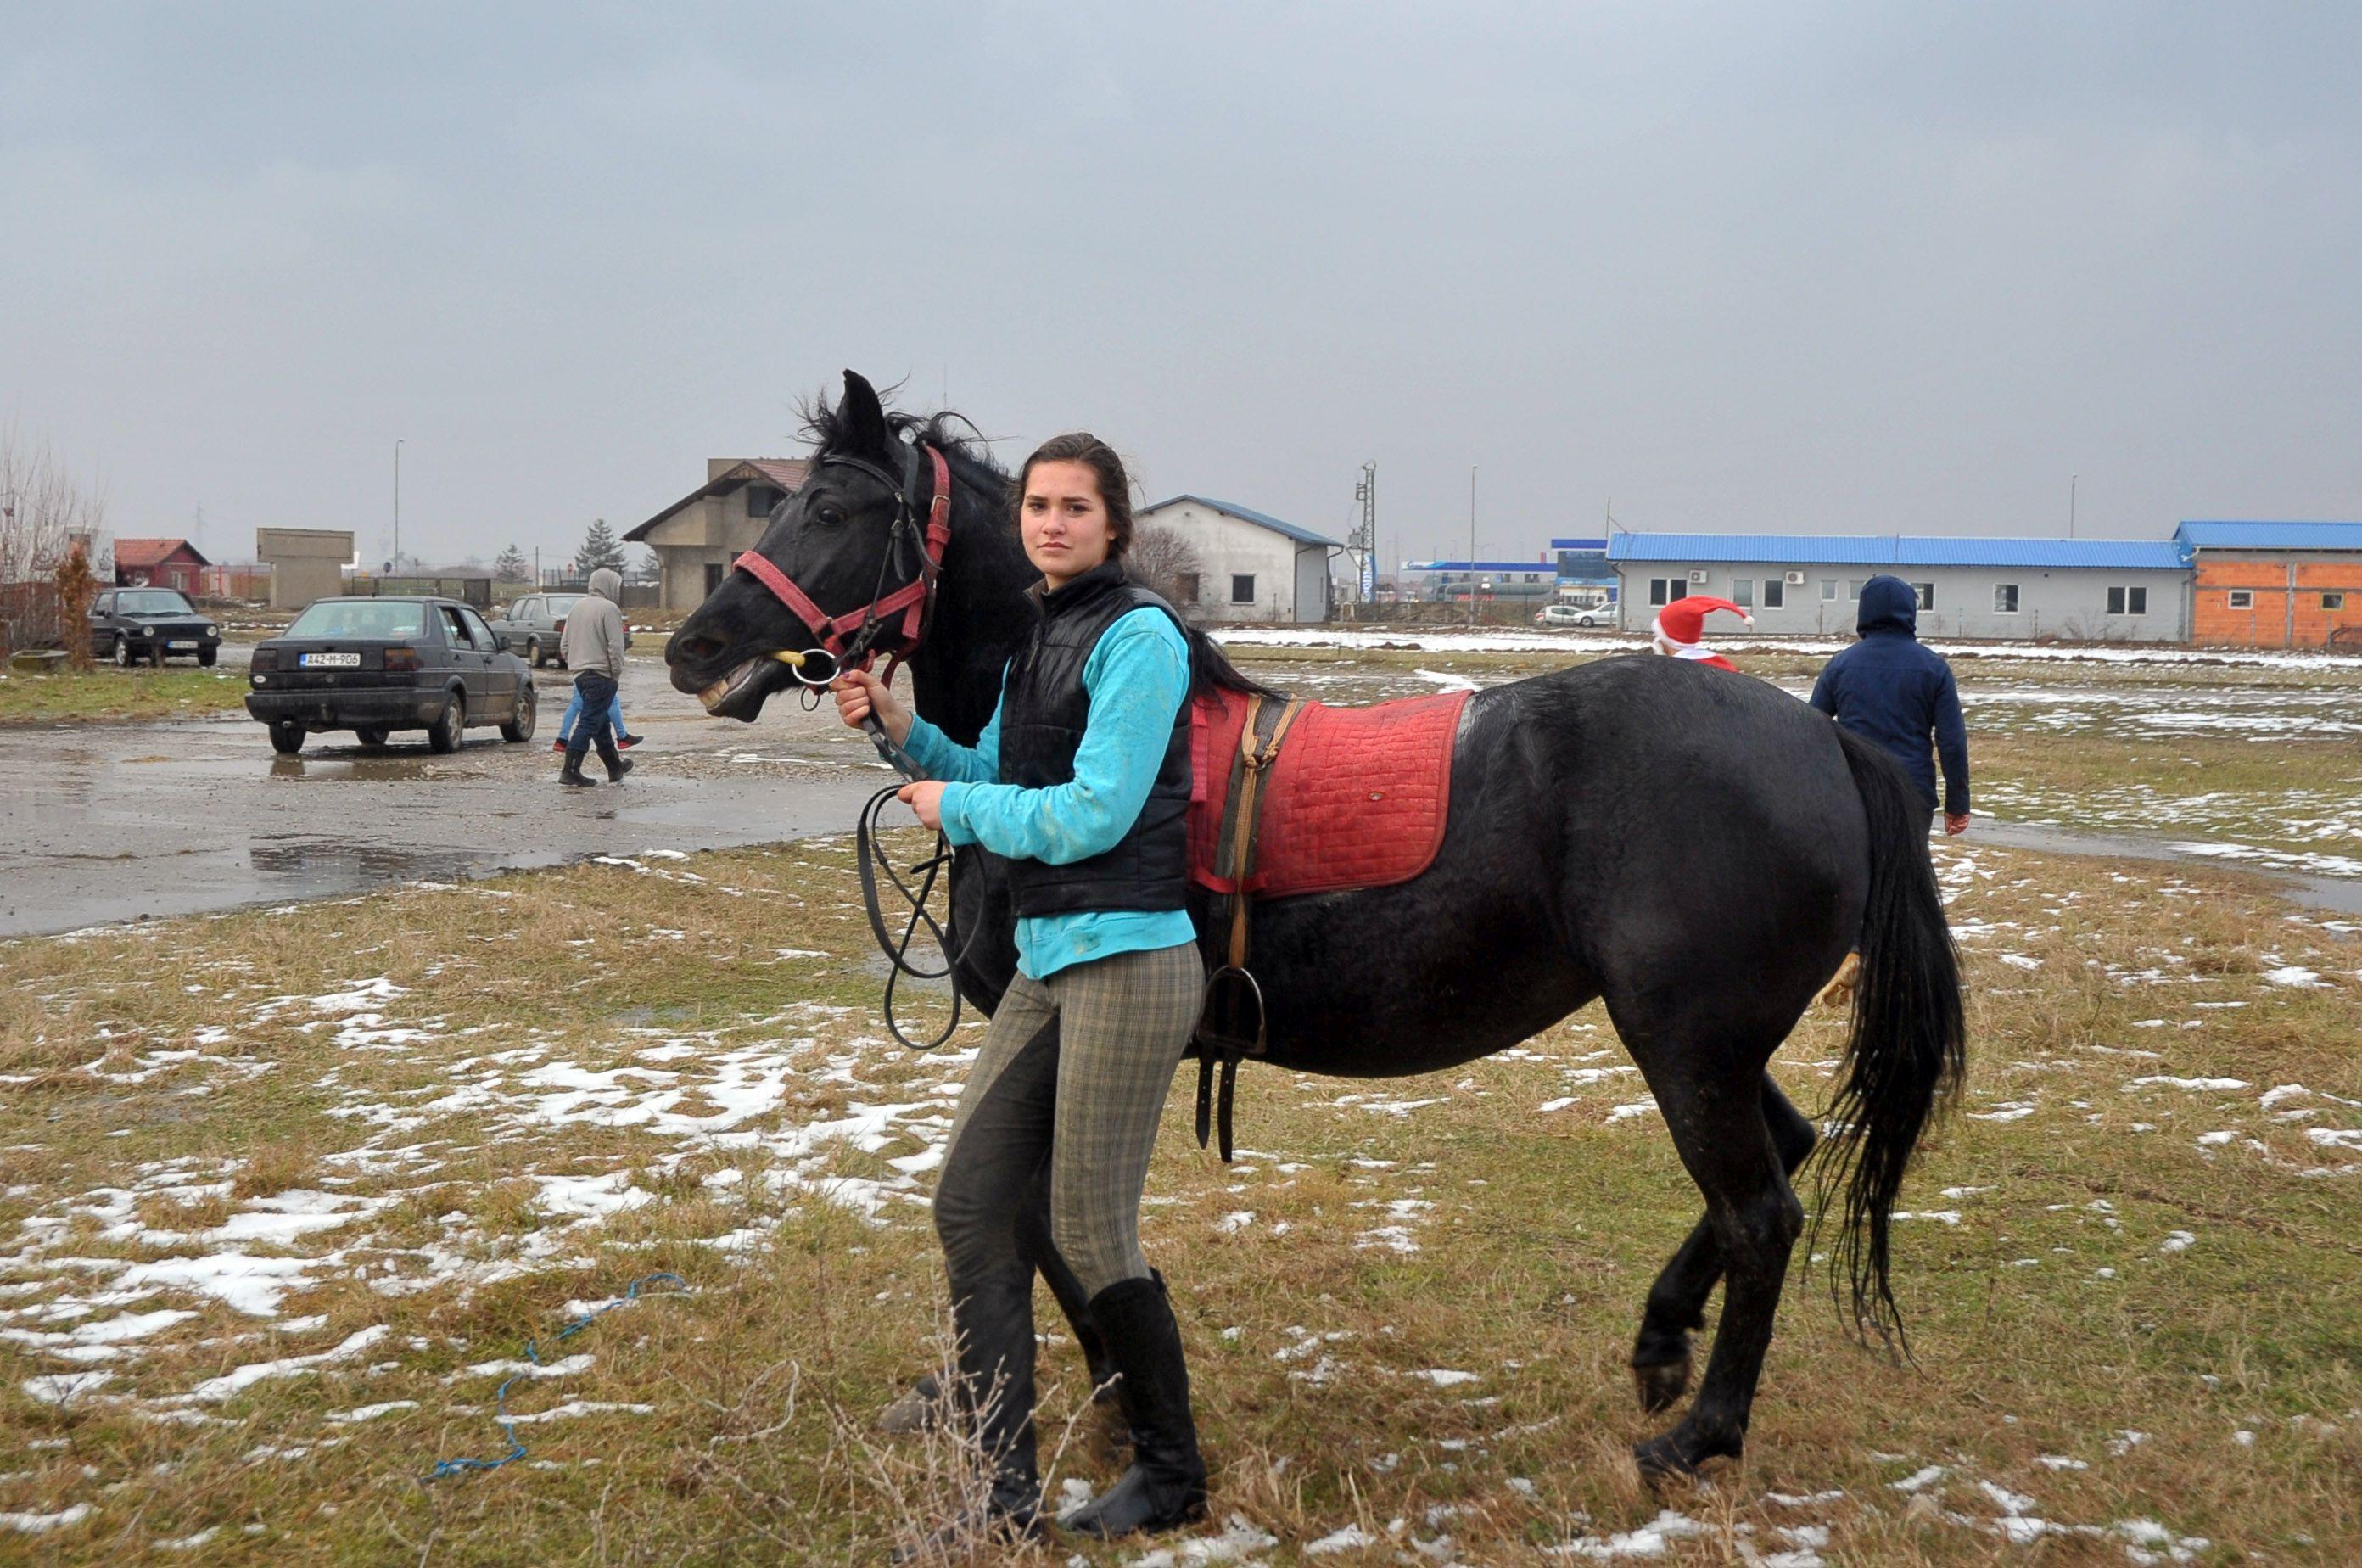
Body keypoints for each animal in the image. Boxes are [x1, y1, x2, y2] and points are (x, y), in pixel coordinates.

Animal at [666, 372, 1956, 1473]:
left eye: (831, 508)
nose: (692, 646)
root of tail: (1820, 741)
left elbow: (1046, 1229)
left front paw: (1115, 1403)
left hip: (1686, 1044)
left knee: (1762, 1214)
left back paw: (1700, 1436)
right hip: (1711, 1045)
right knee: (1785, 1155)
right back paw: (1659, 1346)